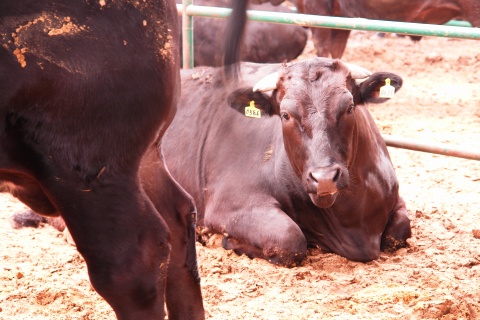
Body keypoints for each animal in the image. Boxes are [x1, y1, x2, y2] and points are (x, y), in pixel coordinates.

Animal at [163, 57, 410, 264]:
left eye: (349, 108)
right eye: (285, 115)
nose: (324, 178)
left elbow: (400, 231)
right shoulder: (229, 203)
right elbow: (290, 239)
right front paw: (227, 240)